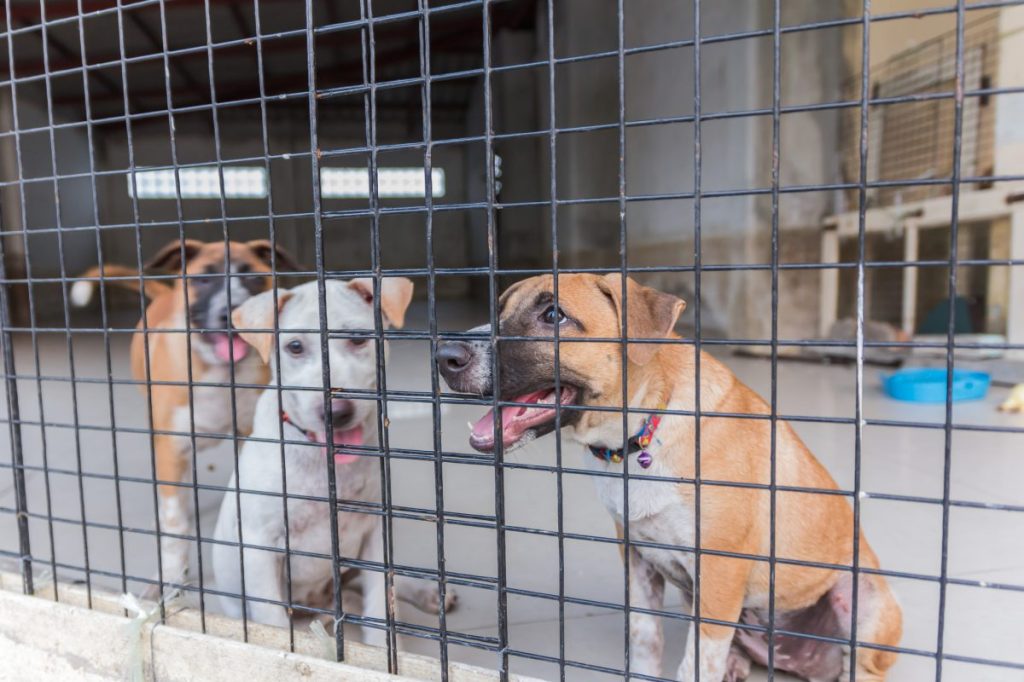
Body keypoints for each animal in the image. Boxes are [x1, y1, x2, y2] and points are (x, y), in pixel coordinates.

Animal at [72, 237, 299, 589]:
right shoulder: (172, 446)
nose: (230, 313)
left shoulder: (248, 436)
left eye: (252, 277)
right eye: (203, 279)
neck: (220, 372)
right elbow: (175, 522)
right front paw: (172, 574)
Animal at [209, 278, 454, 643]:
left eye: (357, 338)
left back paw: (429, 594)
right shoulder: (259, 547)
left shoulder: (375, 533)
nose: (337, 412)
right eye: (295, 347)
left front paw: (381, 649)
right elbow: (272, 619)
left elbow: (380, 604)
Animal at [436, 274, 901, 675]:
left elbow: (697, 662)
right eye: (498, 308)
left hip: (867, 605)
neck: (639, 435)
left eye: (553, 314)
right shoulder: (638, 559)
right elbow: (647, 638)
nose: (444, 356)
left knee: (861, 667)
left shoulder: (719, 573)